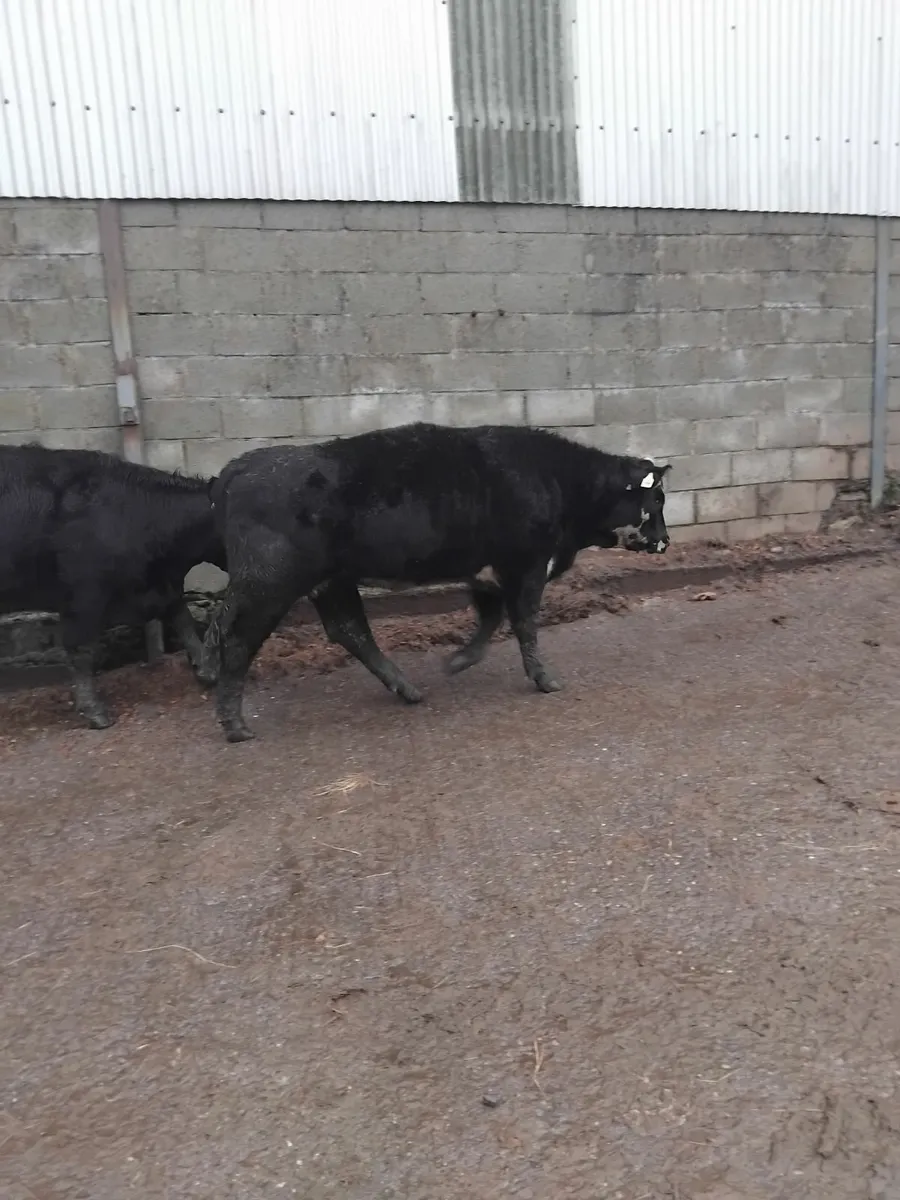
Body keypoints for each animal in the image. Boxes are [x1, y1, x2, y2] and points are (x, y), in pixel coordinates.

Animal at [0, 443, 225, 729]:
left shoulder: (160, 585)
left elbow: (183, 619)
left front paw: (207, 670)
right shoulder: (84, 598)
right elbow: (81, 651)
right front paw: (94, 710)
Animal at [202, 422, 671, 743]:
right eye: (655, 499)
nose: (665, 541)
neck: (558, 480)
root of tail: (240, 467)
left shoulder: (488, 573)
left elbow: (490, 618)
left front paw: (460, 660)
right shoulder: (526, 566)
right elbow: (524, 622)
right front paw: (544, 679)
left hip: (330, 582)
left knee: (349, 631)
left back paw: (407, 689)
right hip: (269, 587)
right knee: (237, 637)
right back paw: (235, 724)